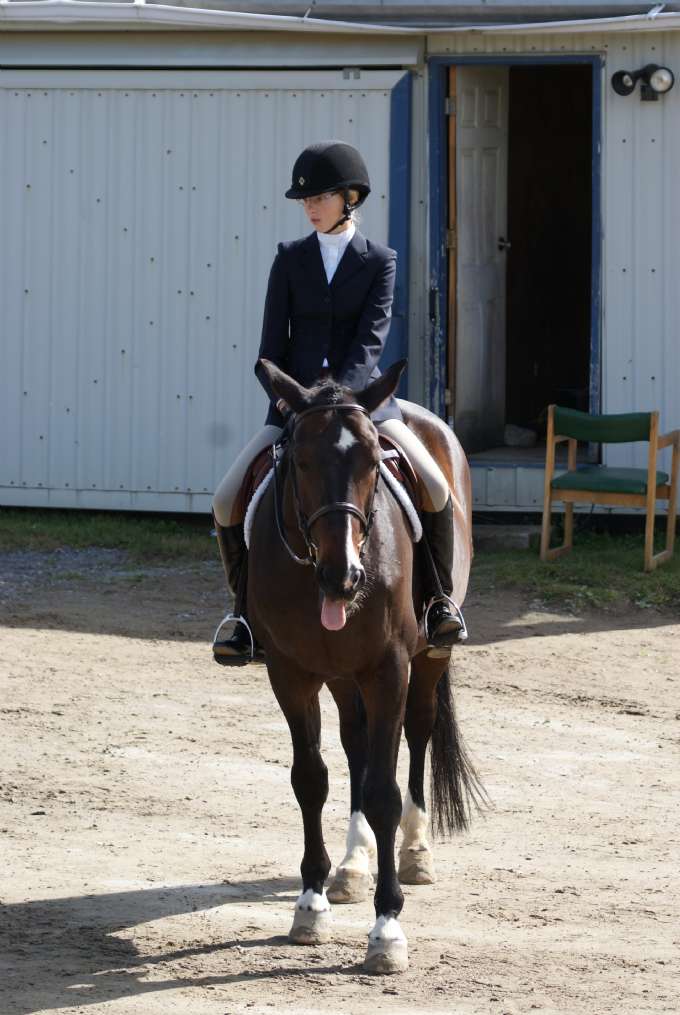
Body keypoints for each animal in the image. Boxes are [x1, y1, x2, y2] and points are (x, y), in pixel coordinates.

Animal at [247, 358, 483, 974]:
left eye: (374, 463)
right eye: (301, 460)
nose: (343, 576)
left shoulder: (388, 669)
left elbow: (384, 792)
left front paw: (387, 929)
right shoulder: (291, 672)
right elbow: (311, 778)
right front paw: (311, 904)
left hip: (428, 656)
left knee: (418, 732)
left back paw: (415, 851)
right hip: (339, 674)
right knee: (355, 743)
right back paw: (352, 865)